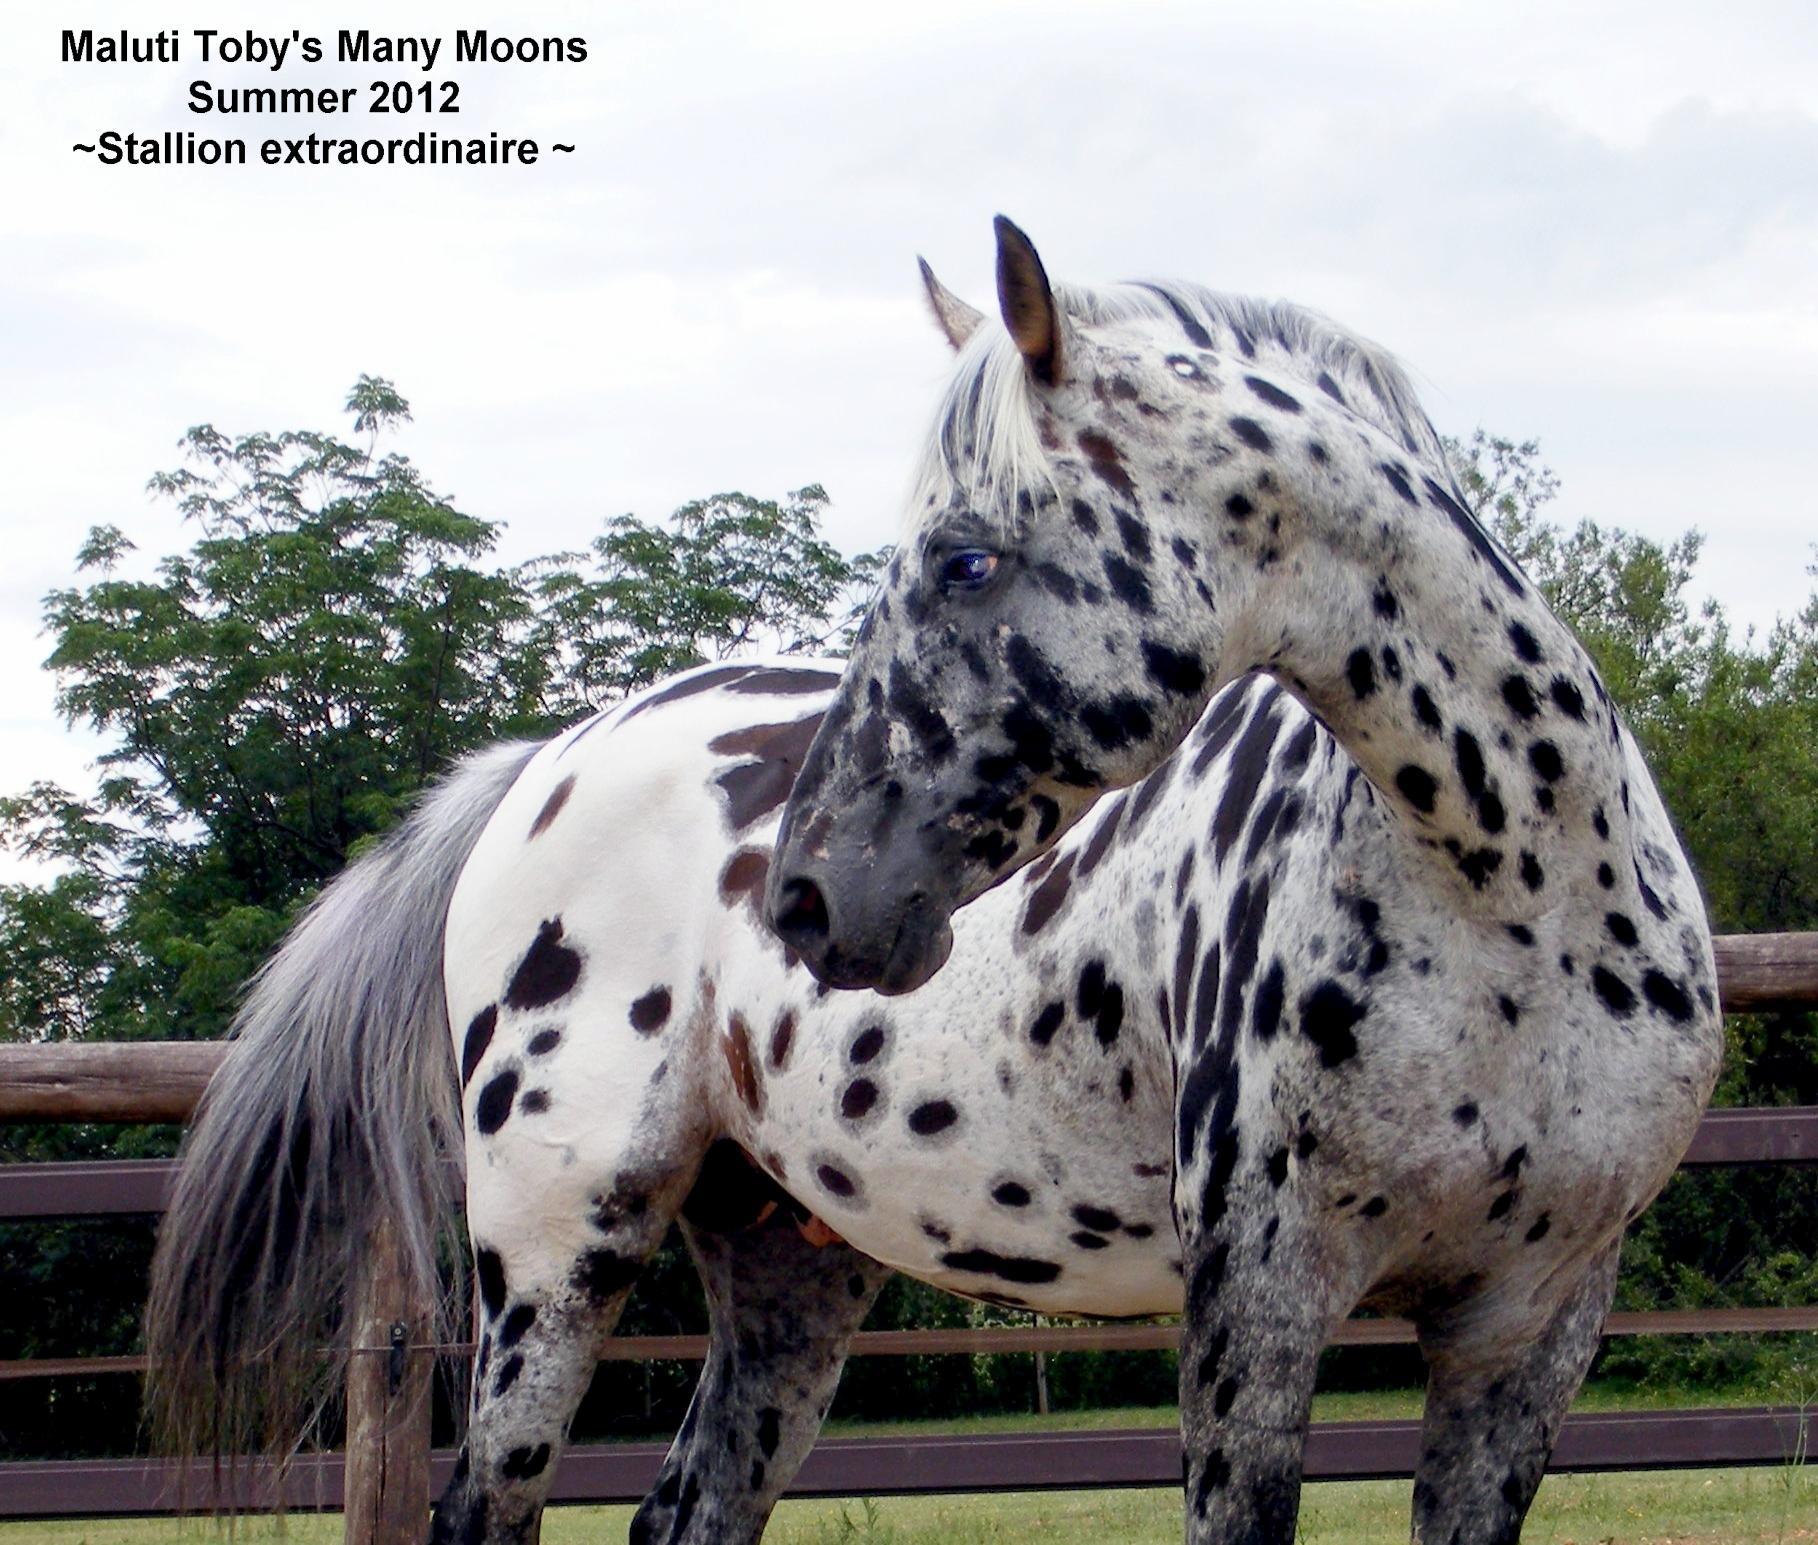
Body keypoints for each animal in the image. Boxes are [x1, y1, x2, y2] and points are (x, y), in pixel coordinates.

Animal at [152, 219, 1716, 1541]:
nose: (805, 897)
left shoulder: (1527, 1335)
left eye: (966, 558)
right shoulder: (1260, 1309)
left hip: (787, 1276)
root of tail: (543, 764)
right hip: (551, 1264)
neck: (1509, 906)